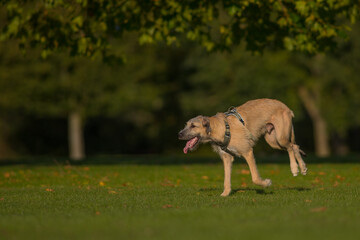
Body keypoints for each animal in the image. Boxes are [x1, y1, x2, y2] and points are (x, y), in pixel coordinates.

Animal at [177, 98, 306, 196]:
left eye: (193, 126)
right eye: (186, 125)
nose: (179, 134)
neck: (218, 128)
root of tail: (286, 107)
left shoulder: (247, 151)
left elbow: (255, 178)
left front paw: (266, 183)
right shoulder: (227, 158)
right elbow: (226, 179)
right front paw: (225, 194)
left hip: (280, 137)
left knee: (290, 147)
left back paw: (294, 168)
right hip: (273, 141)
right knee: (295, 146)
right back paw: (303, 168)